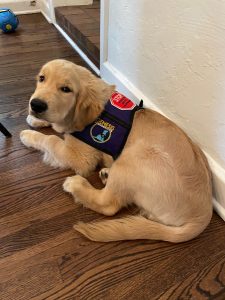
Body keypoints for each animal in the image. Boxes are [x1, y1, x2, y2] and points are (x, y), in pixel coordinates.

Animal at [20, 59, 212, 244]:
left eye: (66, 89)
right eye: (42, 78)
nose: (36, 104)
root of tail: (203, 214)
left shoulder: (80, 156)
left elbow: (51, 140)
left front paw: (28, 135)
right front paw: (35, 120)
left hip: (134, 157)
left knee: (108, 205)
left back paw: (76, 185)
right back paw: (106, 174)